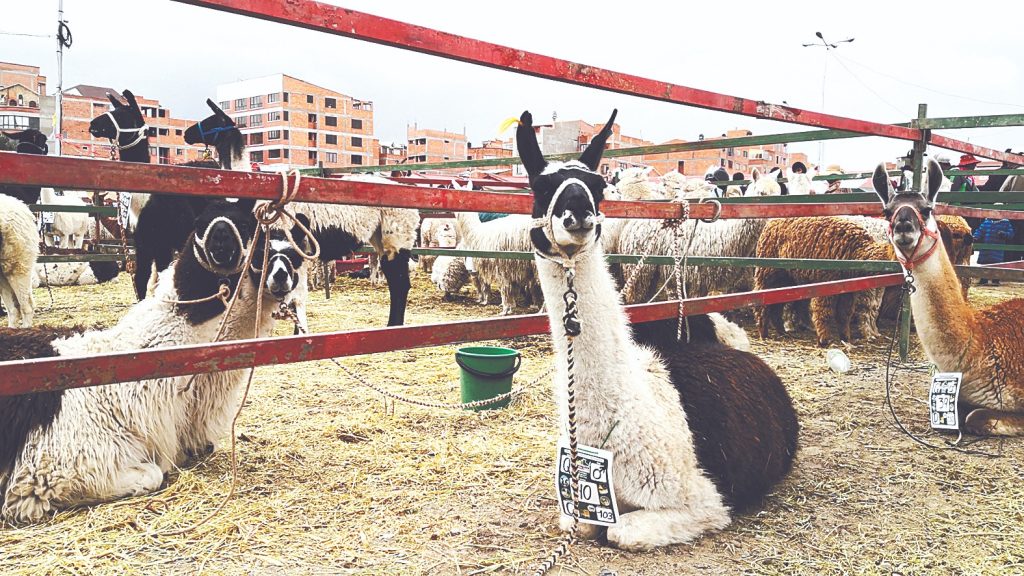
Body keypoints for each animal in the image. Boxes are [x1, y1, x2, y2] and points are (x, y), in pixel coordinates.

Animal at [516, 111, 794, 545]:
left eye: (598, 187)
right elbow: (581, 524)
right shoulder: (576, 508)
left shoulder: (705, 500)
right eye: (541, 186)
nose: (578, 210)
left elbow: (620, 532)